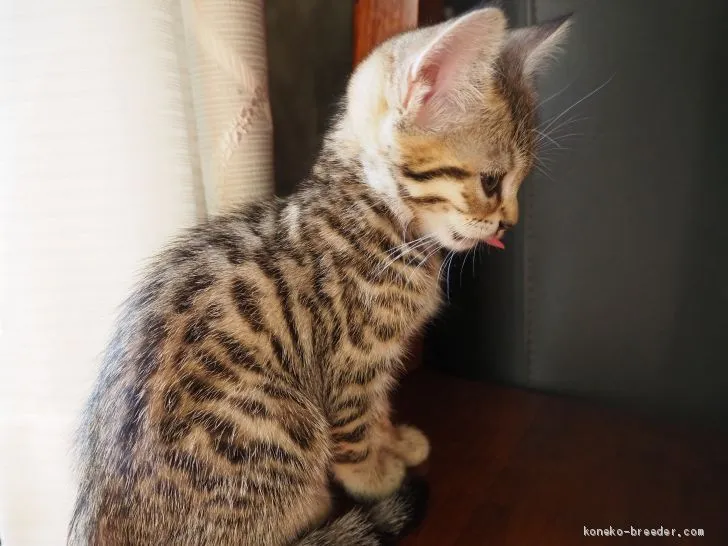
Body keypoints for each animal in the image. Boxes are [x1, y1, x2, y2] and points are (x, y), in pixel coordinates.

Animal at [72, 8, 576, 544]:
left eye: (520, 182)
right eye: (490, 182)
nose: (509, 224)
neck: (371, 220)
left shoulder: (378, 364)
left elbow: (378, 410)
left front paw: (394, 441)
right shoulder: (350, 361)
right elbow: (354, 428)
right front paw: (376, 475)